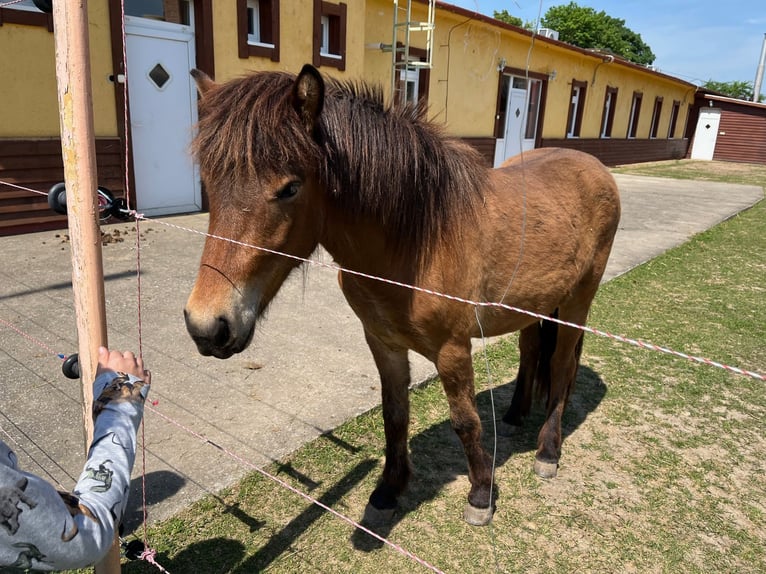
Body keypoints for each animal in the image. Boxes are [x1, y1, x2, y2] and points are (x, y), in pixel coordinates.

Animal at [183, 64, 621, 526]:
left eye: (290, 188)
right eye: (209, 182)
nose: (207, 325)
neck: (416, 242)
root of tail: (594, 167)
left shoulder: (453, 349)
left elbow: (465, 420)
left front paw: (481, 493)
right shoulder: (383, 342)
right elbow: (394, 415)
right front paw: (388, 490)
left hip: (576, 302)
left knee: (560, 366)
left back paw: (548, 450)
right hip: (535, 304)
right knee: (532, 348)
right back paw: (516, 415)